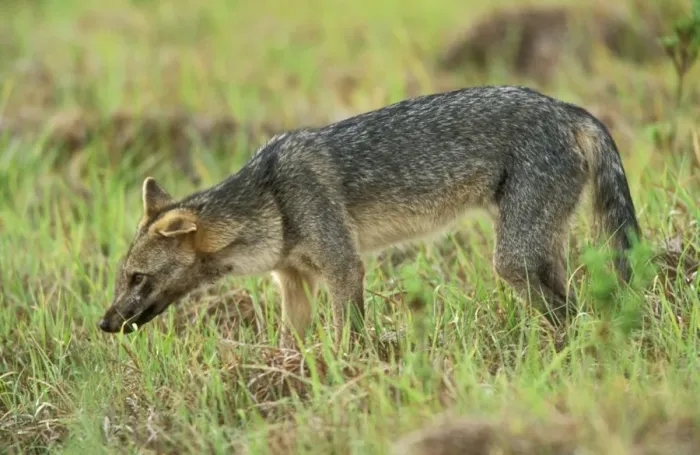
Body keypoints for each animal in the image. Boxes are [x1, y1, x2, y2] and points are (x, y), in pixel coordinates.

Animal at [98, 85, 641, 348]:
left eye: (137, 278)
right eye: (122, 277)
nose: (103, 324)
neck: (271, 199)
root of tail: (567, 108)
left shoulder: (344, 266)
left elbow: (347, 335)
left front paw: (351, 371)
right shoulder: (293, 282)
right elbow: (291, 343)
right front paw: (287, 379)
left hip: (514, 259)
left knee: (569, 310)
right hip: (541, 248)